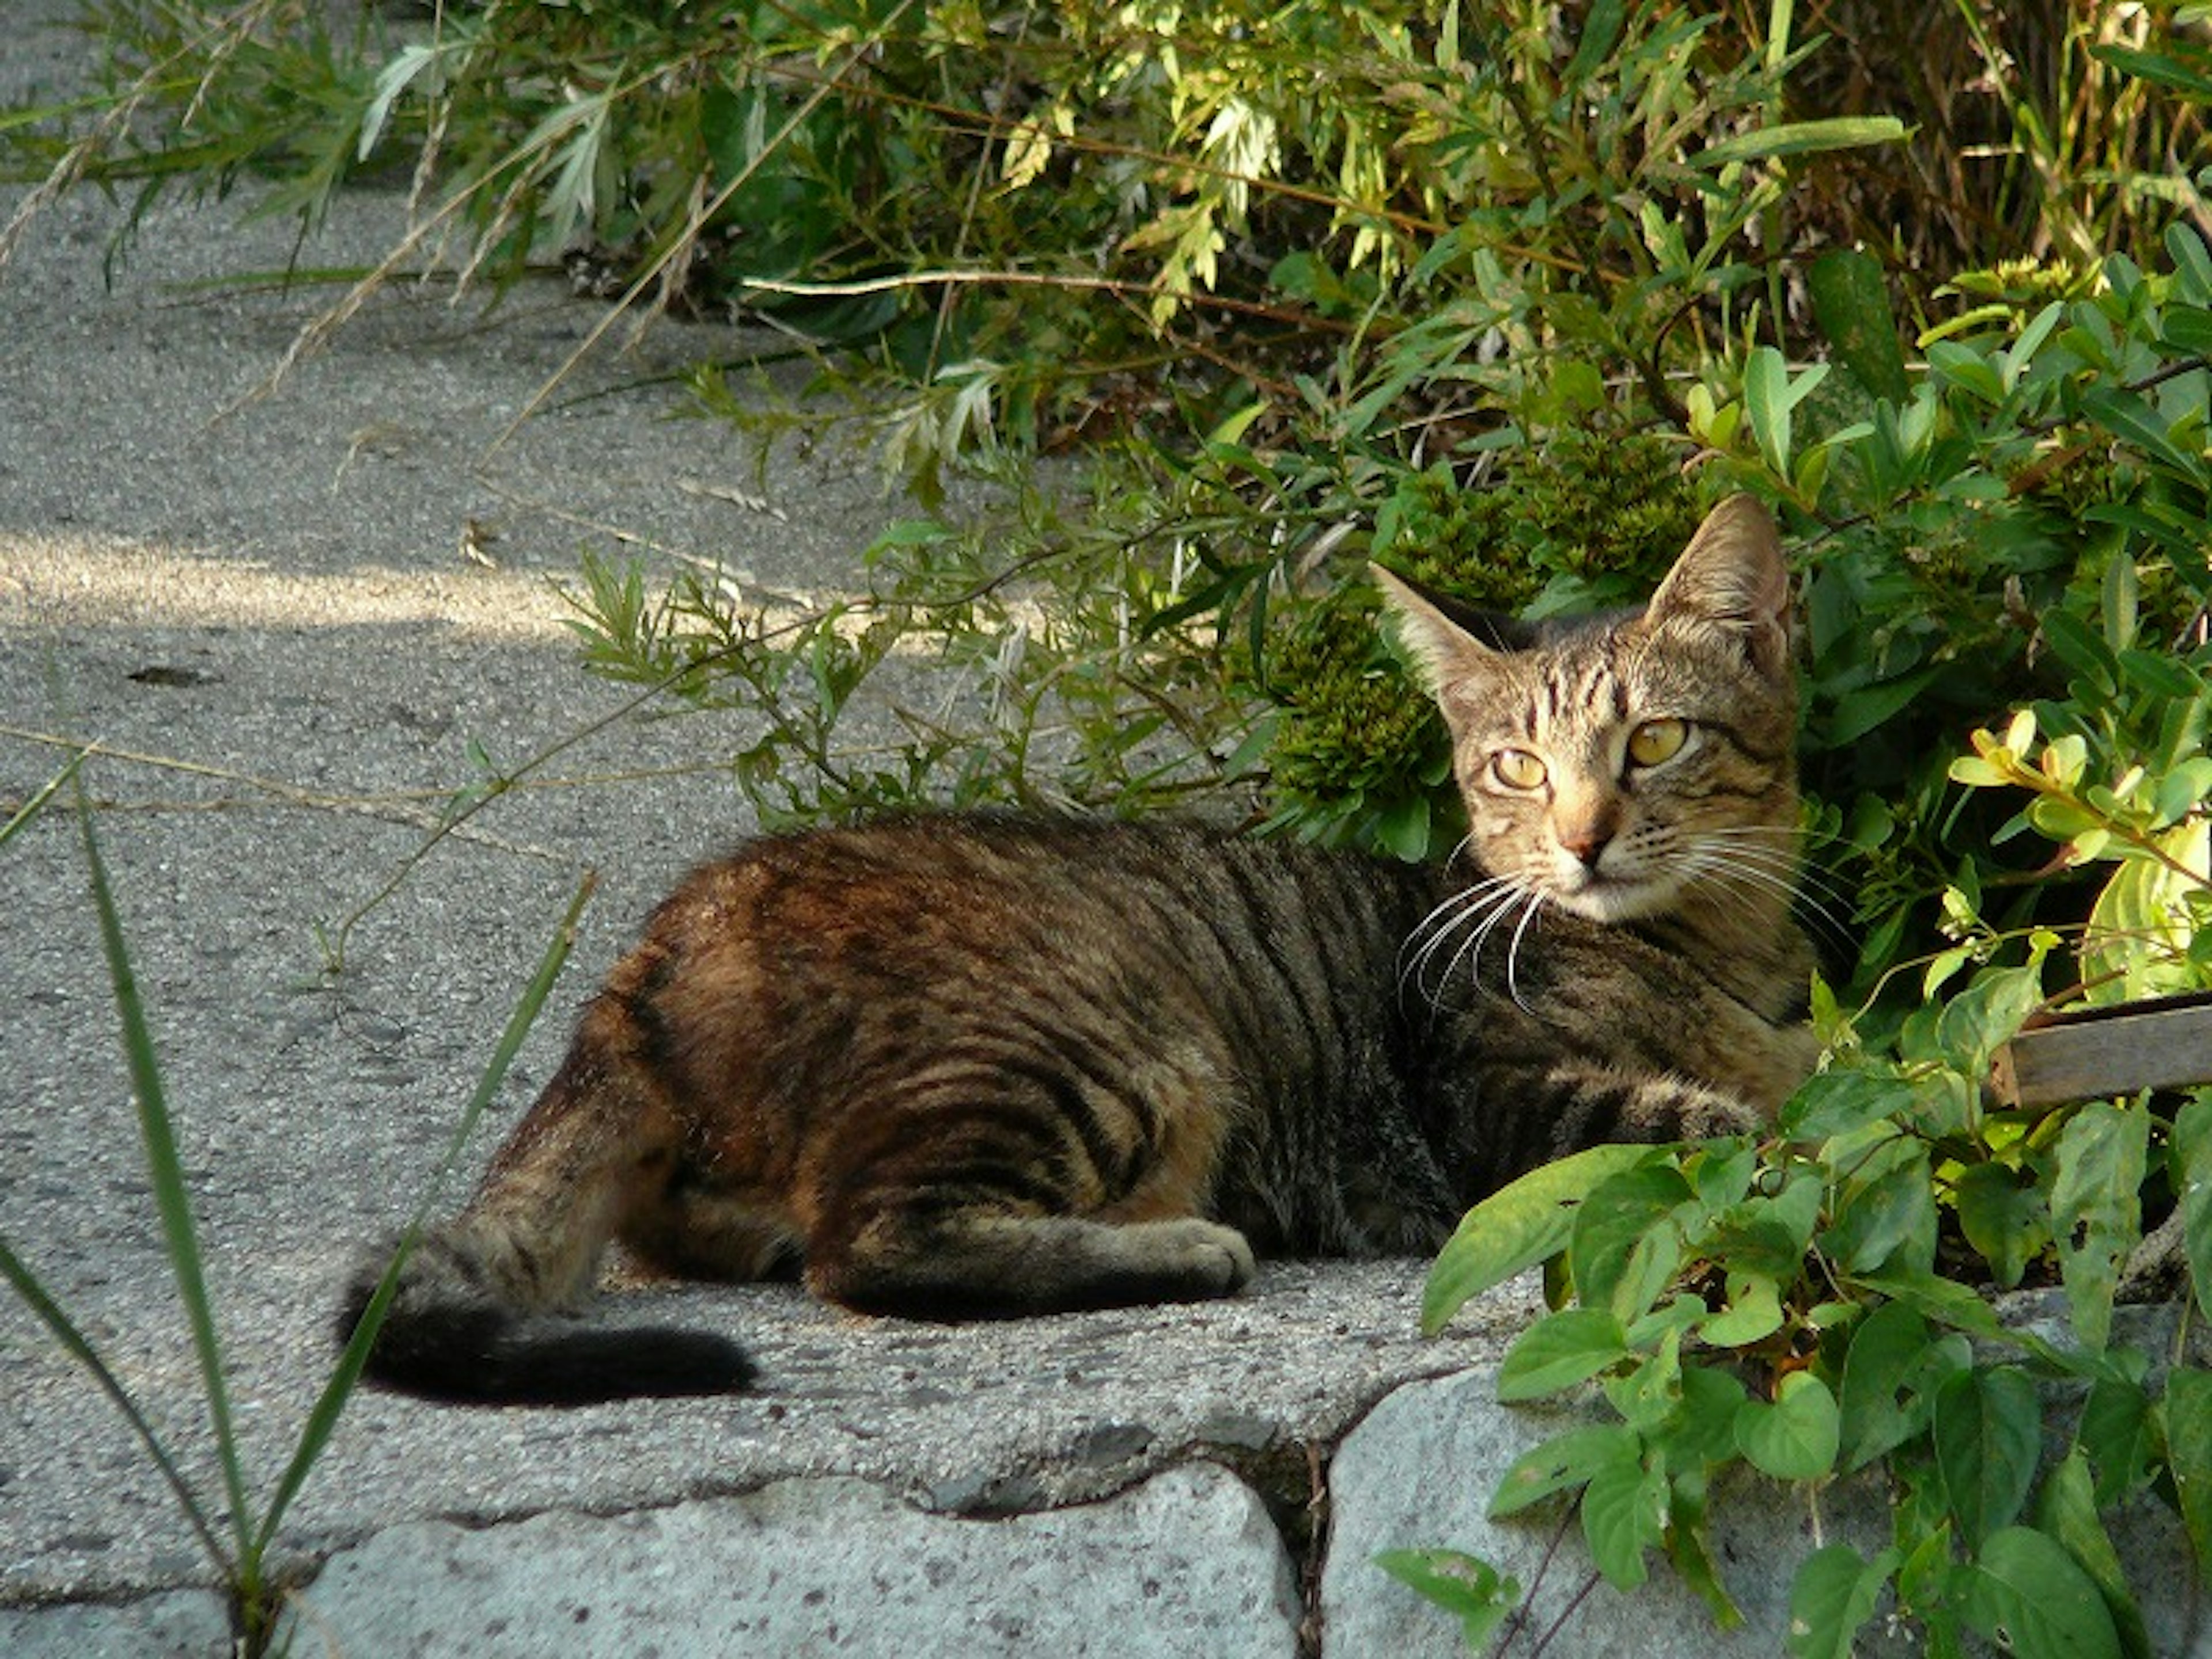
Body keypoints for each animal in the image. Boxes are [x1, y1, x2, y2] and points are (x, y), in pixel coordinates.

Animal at [332, 493, 1813, 1407]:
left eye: (1654, 741)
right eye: (1516, 767)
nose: (1582, 839)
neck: (1724, 951)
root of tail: (643, 962)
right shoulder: (1488, 1096)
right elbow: (1725, 1129)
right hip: (1103, 1049)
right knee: (865, 1247)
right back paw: (1175, 1249)